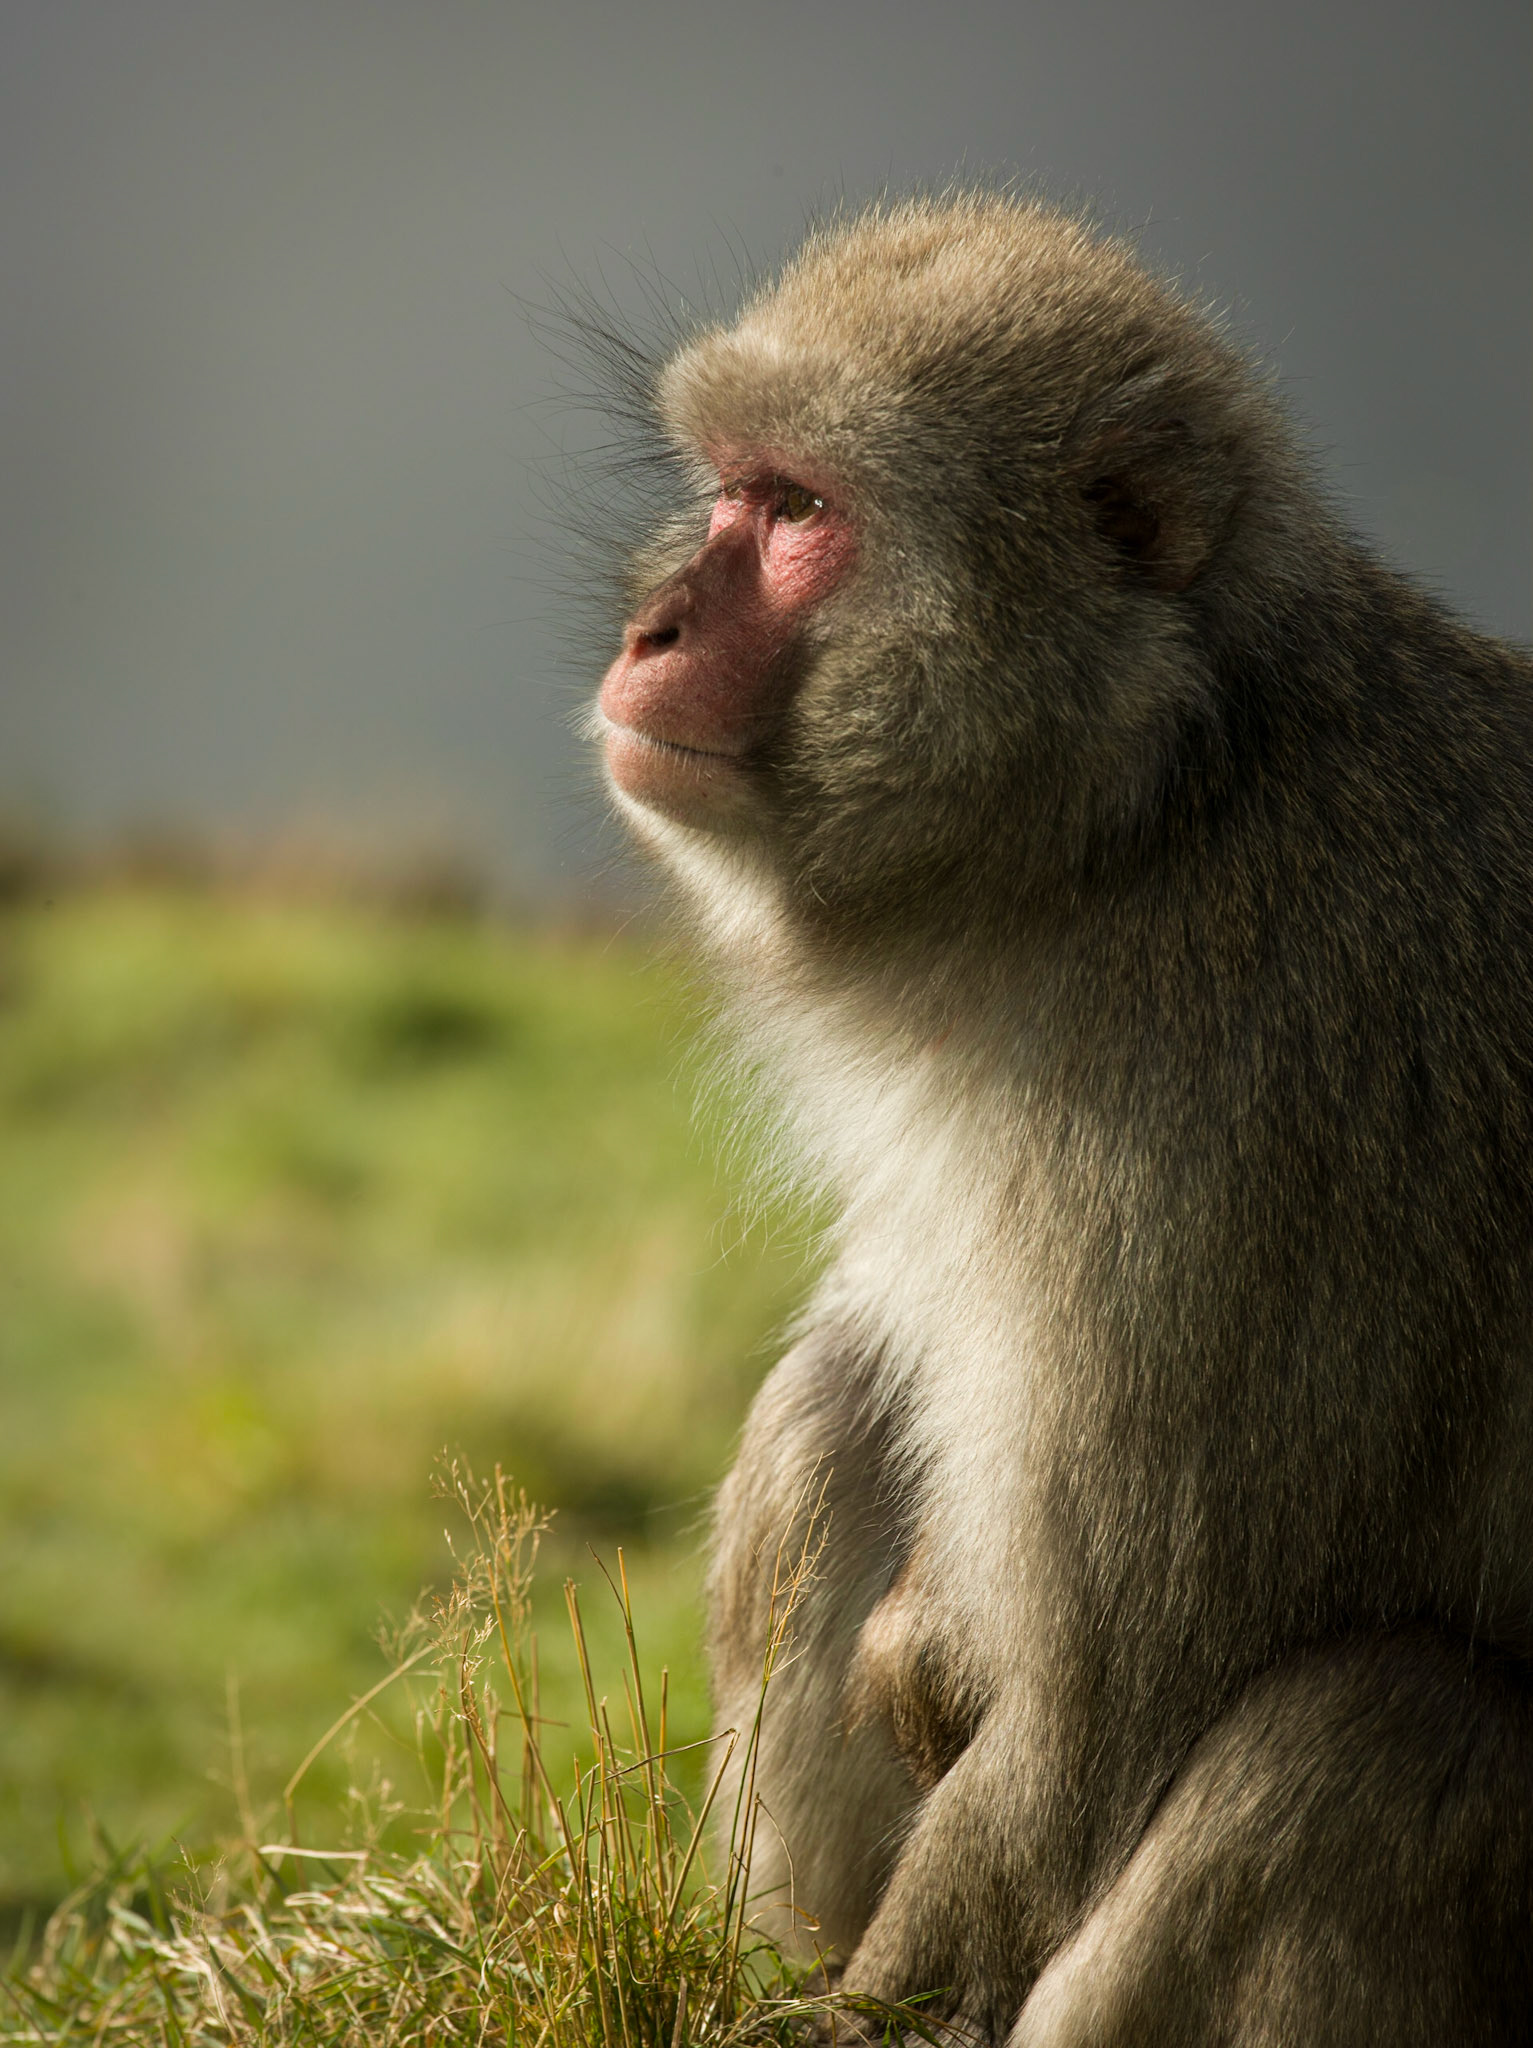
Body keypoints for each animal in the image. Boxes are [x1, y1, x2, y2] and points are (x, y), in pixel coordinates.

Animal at [590, 192, 1533, 2044]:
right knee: (833, 1403)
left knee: (1376, 1740)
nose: (652, 625)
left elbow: (1095, 1729)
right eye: (729, 487)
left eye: (797, 514)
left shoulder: (1243, 1141)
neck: (1146, 821)